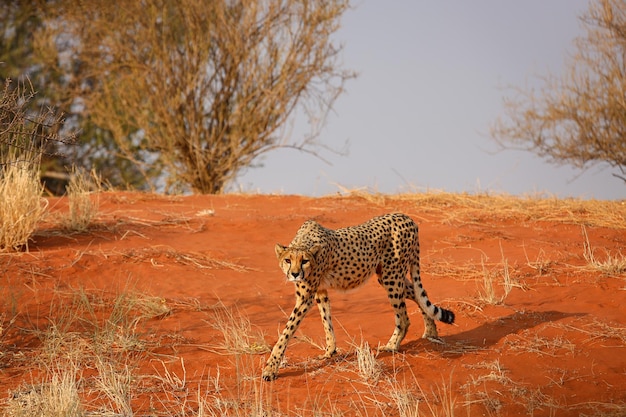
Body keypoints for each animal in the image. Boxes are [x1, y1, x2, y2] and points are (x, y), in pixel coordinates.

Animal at [260, 213, 450, 378]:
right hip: (388, 276)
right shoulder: (320, 291)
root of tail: (406, 217)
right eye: (288, 260)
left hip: (391, 276)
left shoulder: (305, 298)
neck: (304, 241)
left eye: (304, 261)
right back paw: (431, 331)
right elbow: (326, 320)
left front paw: (271, 368)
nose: (294, 274)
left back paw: (392, 346)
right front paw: (330, 351)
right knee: (417, 294)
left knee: (403, 318)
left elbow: (286, 332)